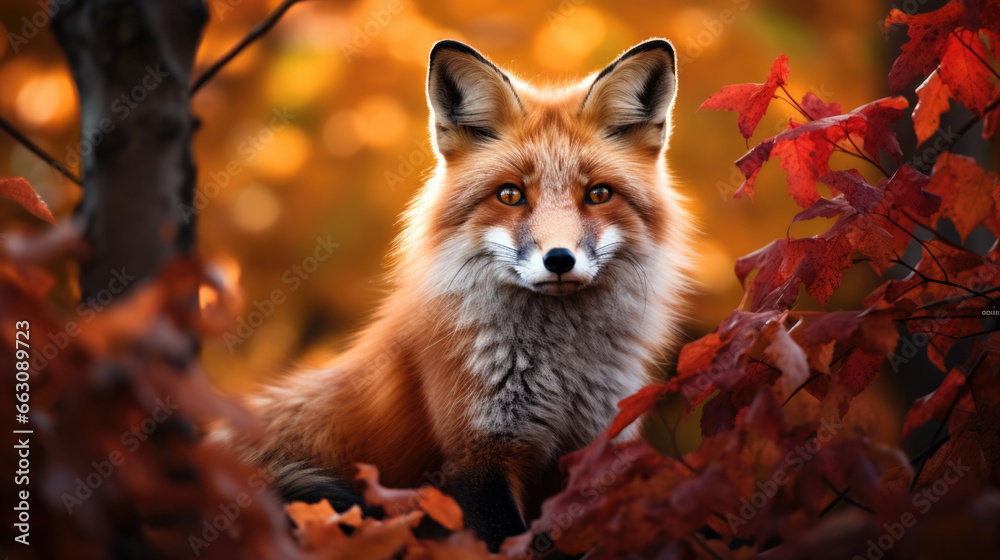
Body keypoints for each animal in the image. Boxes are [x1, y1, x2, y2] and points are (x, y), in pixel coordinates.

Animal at [210, 38, 694, 551]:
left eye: (599, 194)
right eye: (510, 195)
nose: (559, 259)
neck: (562, 372)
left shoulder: (594, 452)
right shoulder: (476, 456)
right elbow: (507, 545)